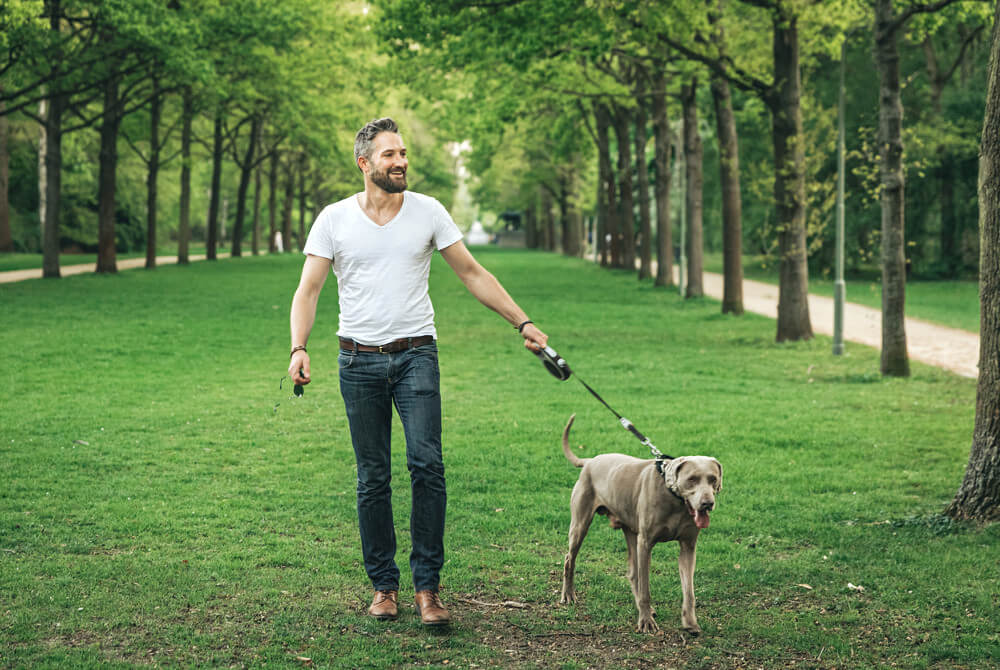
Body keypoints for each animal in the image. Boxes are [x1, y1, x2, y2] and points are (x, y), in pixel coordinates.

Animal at [560, 412, 724, 636]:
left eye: (713, 479)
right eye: (692, 479)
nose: (707, 503)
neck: (674, 499)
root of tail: (590, 461)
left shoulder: (688, 547)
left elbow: (688, 590)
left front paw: (690, 622)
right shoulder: (645, 543)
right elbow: (646, 587)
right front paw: (646, 622)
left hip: (630, 528)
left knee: (632, 572)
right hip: (581, 523)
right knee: (570, 558)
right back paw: (568, 595)